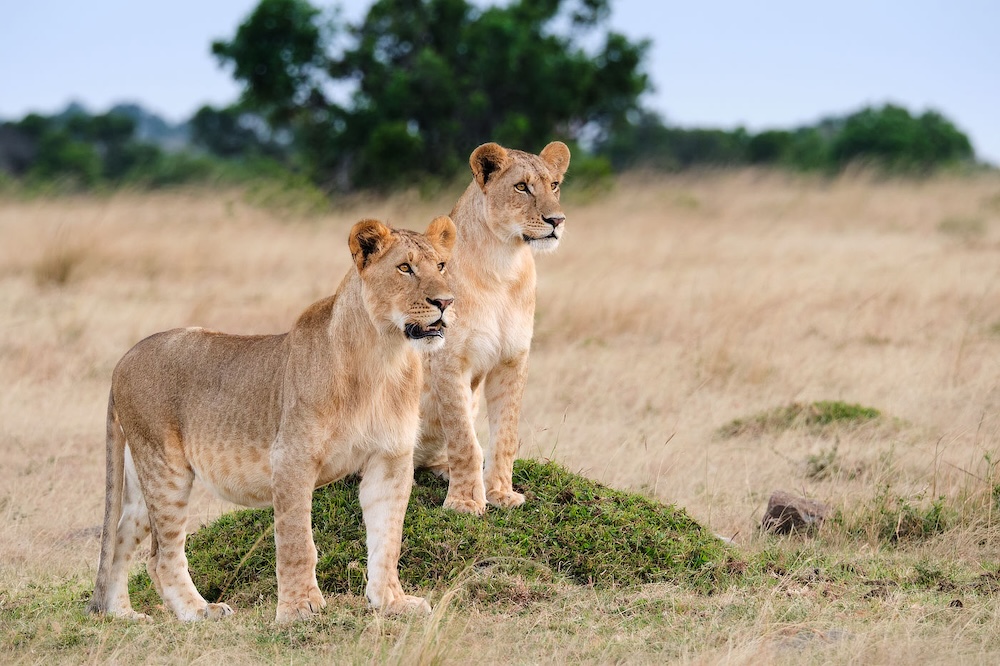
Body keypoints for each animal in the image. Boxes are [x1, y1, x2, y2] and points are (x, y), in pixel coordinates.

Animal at [88, 216, 456, 623]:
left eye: (441, 266)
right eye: (405, 268)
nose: (445, 302)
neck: (384, 355)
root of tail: (122, 360)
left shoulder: (390, 458)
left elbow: (387, 538)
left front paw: (391, 602)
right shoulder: (291, 459)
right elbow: (297, 541)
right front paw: (299, 608)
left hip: (142, 478)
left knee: (120, 537)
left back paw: (122, 614)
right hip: (165, 470)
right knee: (160, 558)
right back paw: (200, 611)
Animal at [414, 141, 570, 514]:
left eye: (554, 185)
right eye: (522, 187)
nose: (557, 220)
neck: (503, 263)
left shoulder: (512, 359)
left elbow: (505, 435)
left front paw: (500, 492)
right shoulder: (447, 360)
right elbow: (464, 439)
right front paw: (464, 501)